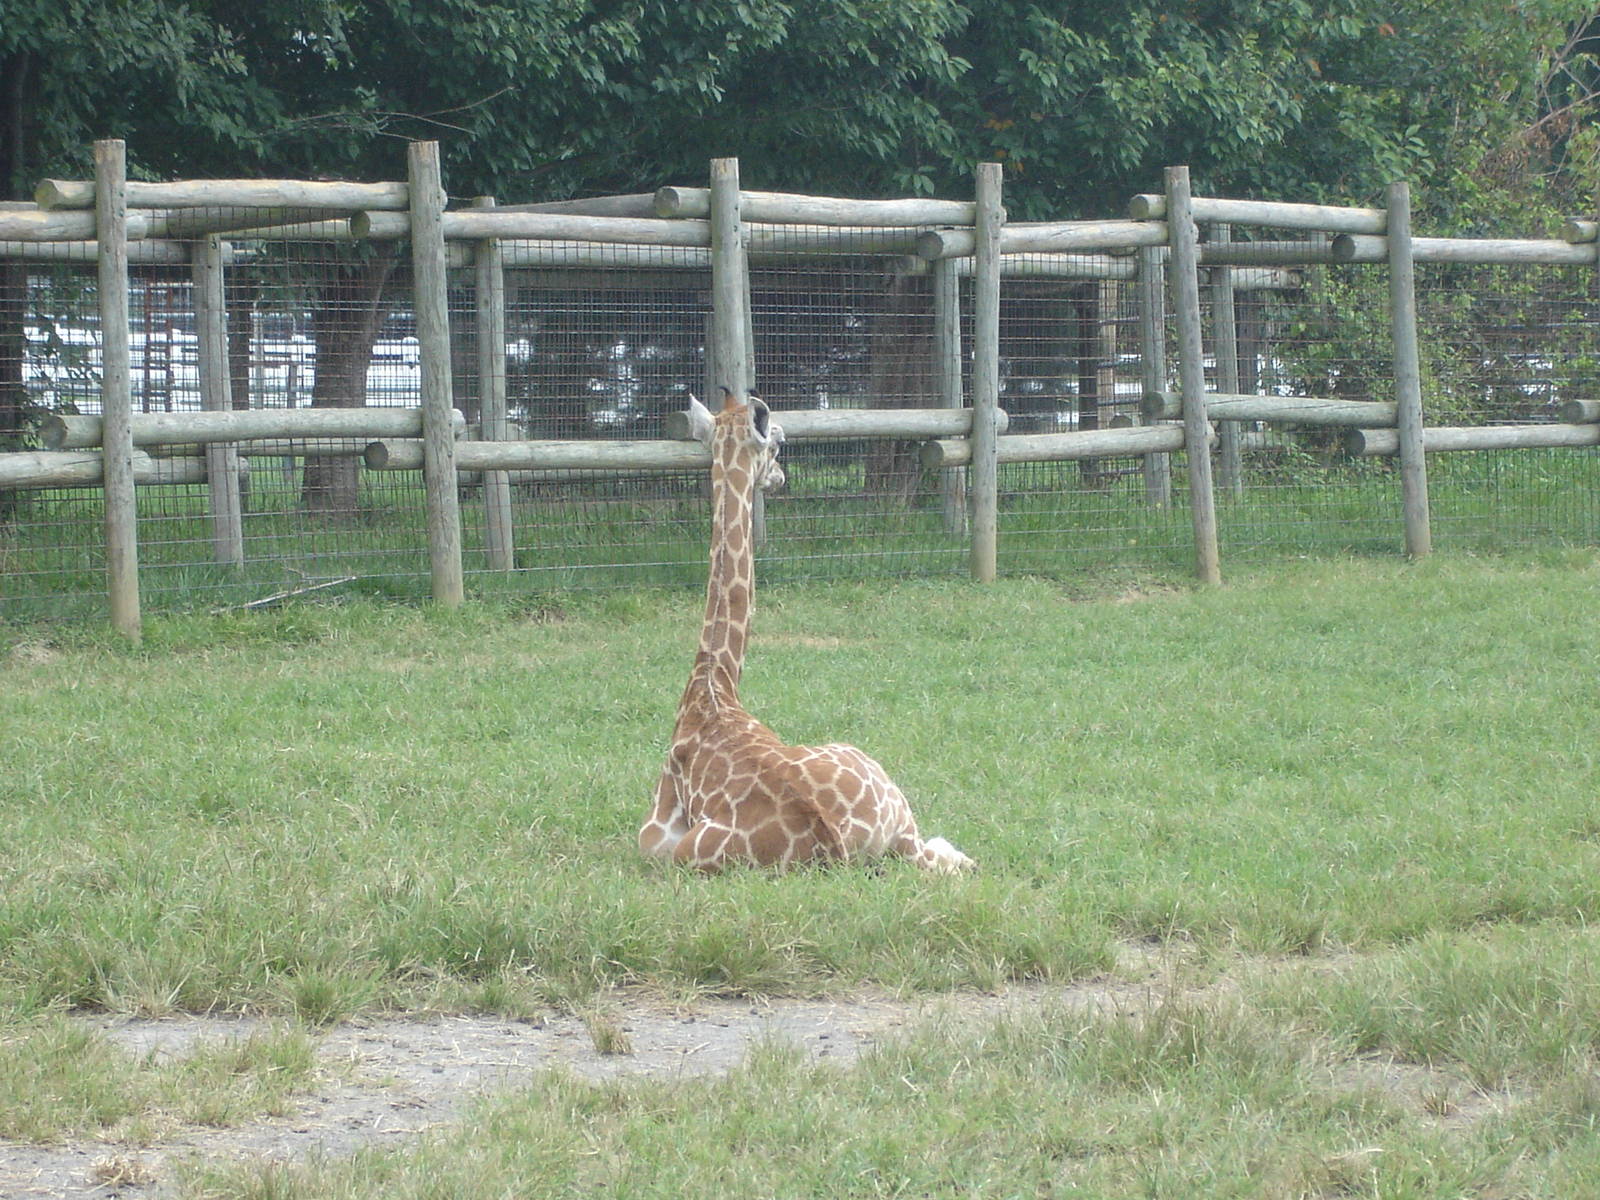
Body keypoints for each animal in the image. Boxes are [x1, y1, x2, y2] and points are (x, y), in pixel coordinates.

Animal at [638, 387, 974, 874]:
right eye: (778, 443)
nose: (780, 477)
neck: (711, 687)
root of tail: (833, 839)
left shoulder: (654, 835)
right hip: (891, 801)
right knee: (951, 859)